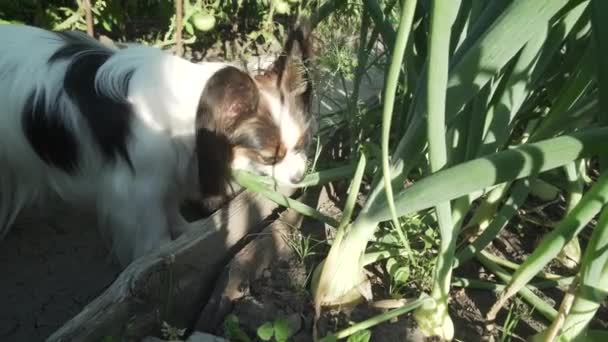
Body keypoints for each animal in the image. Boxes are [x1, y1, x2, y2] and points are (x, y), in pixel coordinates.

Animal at [0, 19, 314, 268]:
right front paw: (160, 256)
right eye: (269, 157)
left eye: (301, 144)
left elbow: (171, 207)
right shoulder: (140, 188)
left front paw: (184, 233)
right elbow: (155, 229)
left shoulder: (168, 172)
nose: (301, 177)